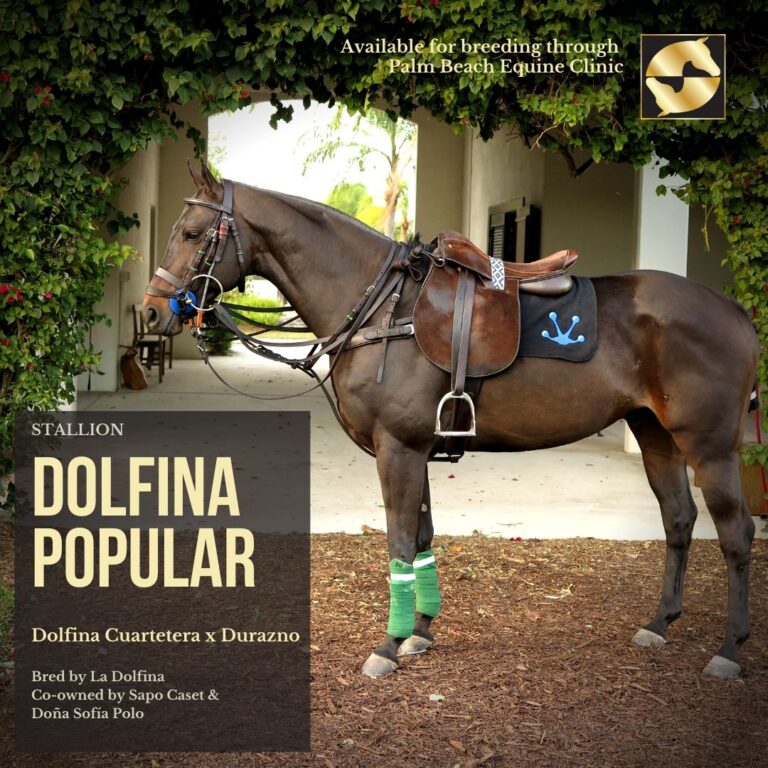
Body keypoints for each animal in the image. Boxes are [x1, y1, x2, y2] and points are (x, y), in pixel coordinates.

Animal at [144, 162, 759, 680]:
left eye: (193, 234)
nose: (150, 311)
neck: (384, 307)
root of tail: (735, 312)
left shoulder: (398, 448)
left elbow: (398, 541)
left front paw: (388, 645)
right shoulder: (415, 449)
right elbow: (422, 536)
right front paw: (420, 631)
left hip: (710, 446)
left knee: (735, 533)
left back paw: (730, 649)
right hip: (655, 434)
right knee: (679, 520)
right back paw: (659, 623)